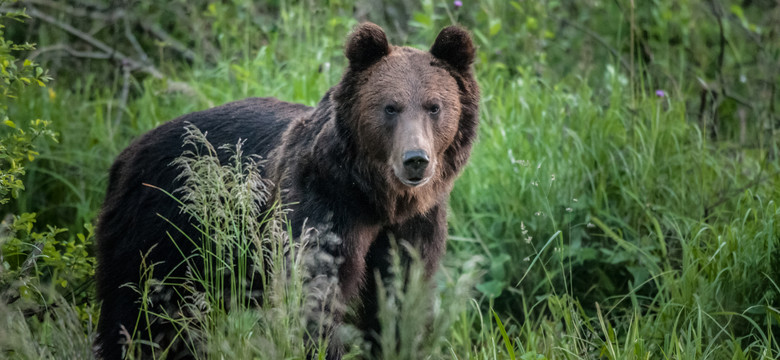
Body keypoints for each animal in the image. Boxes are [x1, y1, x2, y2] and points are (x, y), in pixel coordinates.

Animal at [94, 23, 478, 360]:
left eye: (434, 106)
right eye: (390, 107)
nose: (416, 160)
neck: (377, 200)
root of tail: (126, 154)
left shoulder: (415, 225)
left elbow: (401, 297)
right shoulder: (321, 208)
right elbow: (313, 295)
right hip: (161, 231)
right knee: (136, 313)